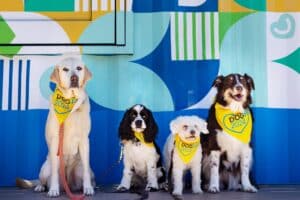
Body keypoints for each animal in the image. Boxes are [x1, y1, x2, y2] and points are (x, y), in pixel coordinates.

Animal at [32, 56, 94, 197]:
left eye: (79, 68)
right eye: (65, 69)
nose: (74, 78)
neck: (71, 106)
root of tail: (68, 186)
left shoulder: (84, 140)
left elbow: (86, 170)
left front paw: (88, 188)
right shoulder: (56, 140)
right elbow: (55, 172)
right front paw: (54, 189)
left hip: (81, 170)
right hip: (45, 169)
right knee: (43, 179)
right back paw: (40, 187)